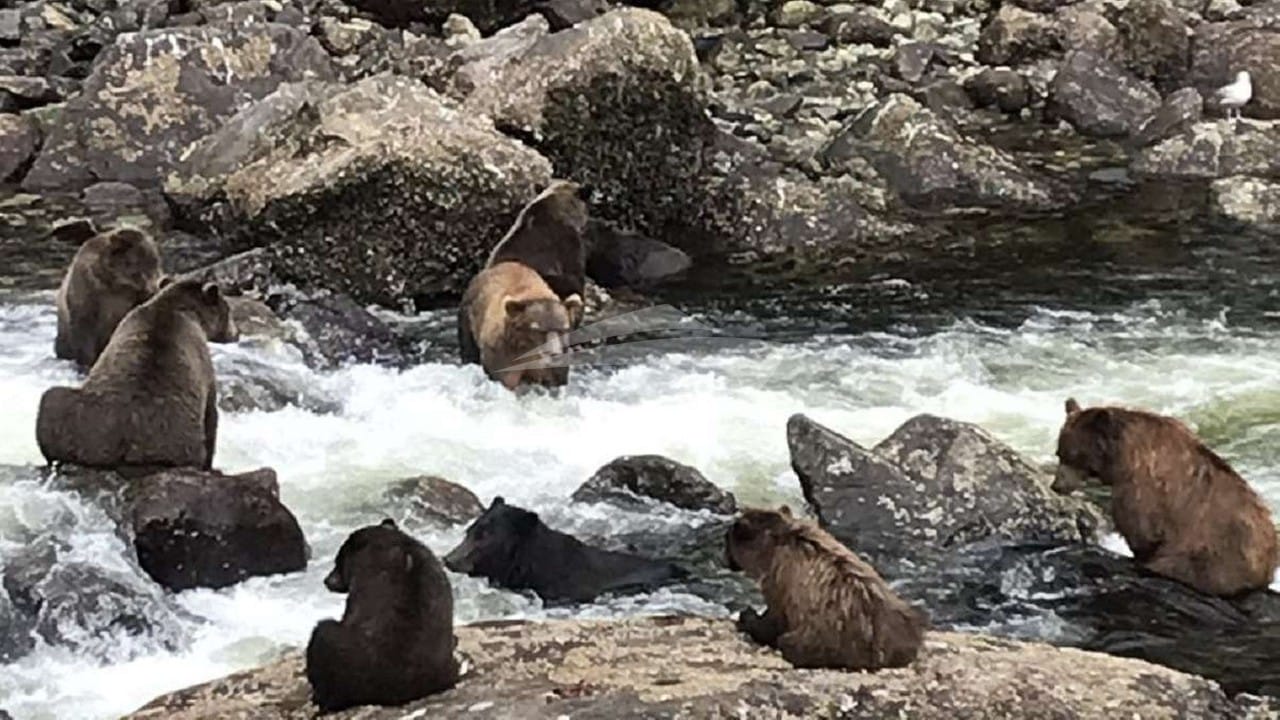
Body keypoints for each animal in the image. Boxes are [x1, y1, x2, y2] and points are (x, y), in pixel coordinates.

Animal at [54, 226, 164, 369]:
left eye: (156, 261)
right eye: (137, 267)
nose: (153, 289)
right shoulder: (89, 290)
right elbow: (84, 327)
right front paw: (88, 362)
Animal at [1051, 398, 1279, 596]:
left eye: (1072, 455)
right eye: (1059, 452)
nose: (1056, 485)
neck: (1121, 457)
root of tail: (1268, 567)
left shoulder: (1141, 486)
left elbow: (1140, 526)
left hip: (1212, 556)